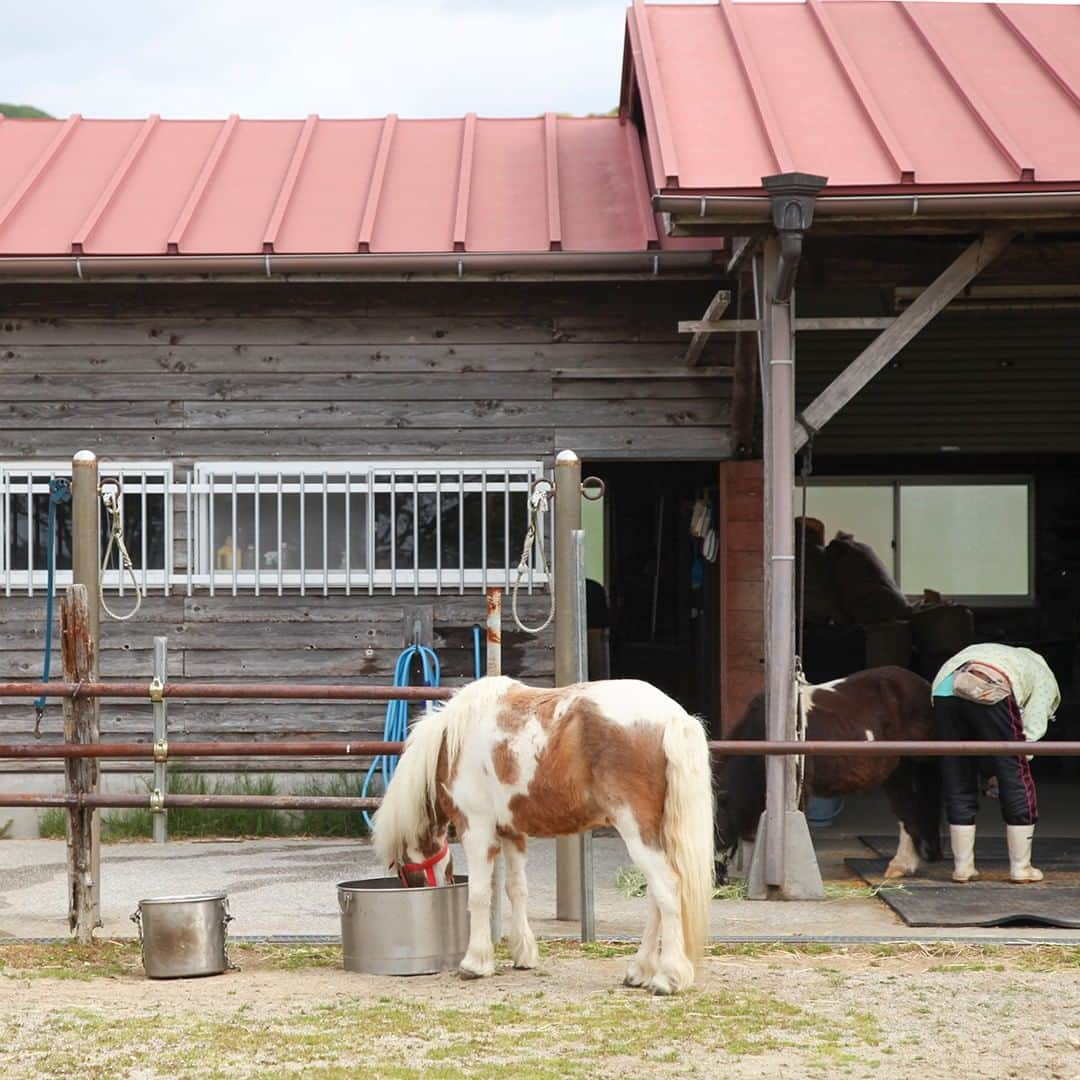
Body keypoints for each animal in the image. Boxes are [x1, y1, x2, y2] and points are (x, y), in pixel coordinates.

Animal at [373, 673, 717, 993]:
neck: (453, 743)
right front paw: (523, 955)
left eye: (405, 873)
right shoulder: (511, 832)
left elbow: (480, 894)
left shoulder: (477, 828)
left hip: (636, 830)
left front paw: (475, 963)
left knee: (667, 889)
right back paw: (639, 972)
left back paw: (667, 978)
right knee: (656, 897)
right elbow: (516, 889)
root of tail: (672, 716)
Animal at [721, 660, 941, 881]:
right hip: (899, 770)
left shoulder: (798, 790)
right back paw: (901, 865)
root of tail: (924, 685)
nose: (718, 880)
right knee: (907, 808)